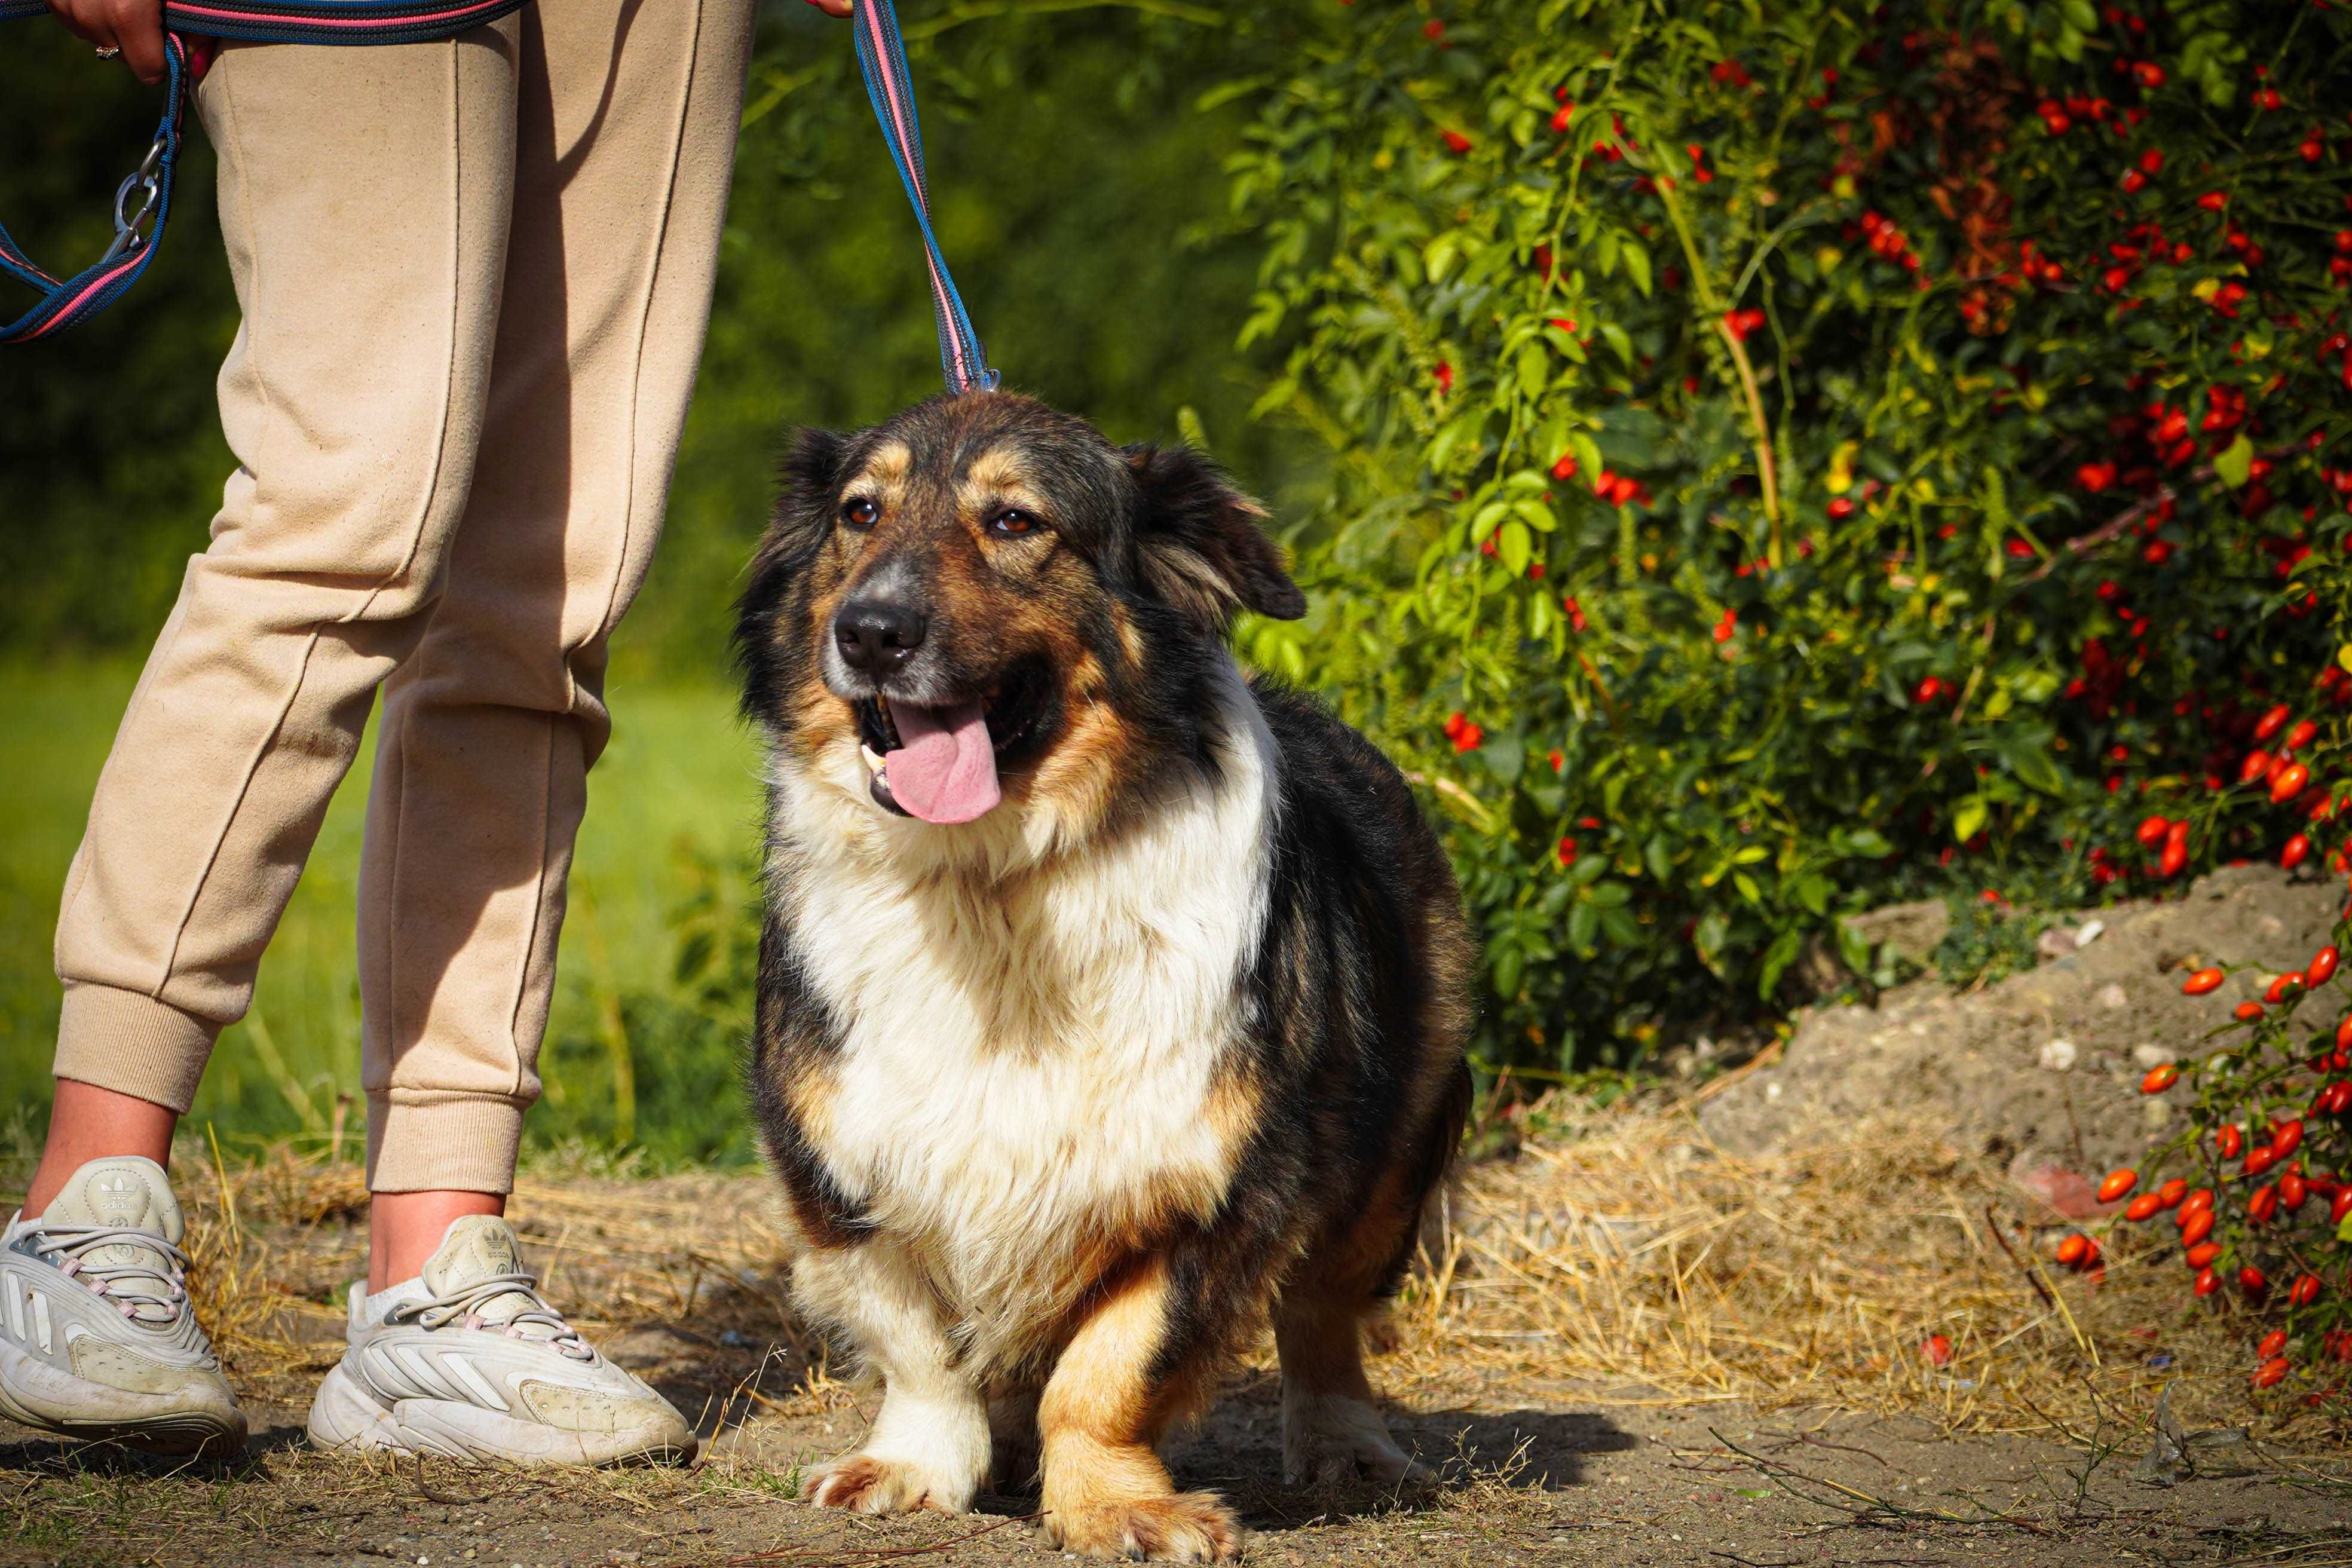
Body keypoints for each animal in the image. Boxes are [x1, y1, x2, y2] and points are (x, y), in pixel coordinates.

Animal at [734, 390, 1468, 1561]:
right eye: (860, 511)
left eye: (1016, 521)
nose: (871, 631)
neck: (995, 880)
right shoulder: (840, 1155)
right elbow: (914, 1337)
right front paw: (916, 1466)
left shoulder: (1216, 1172)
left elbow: (1113, 1365)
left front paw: (1113, 1501)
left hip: (1394, 1147)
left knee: (1324, 1307)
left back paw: (1345, 1444)